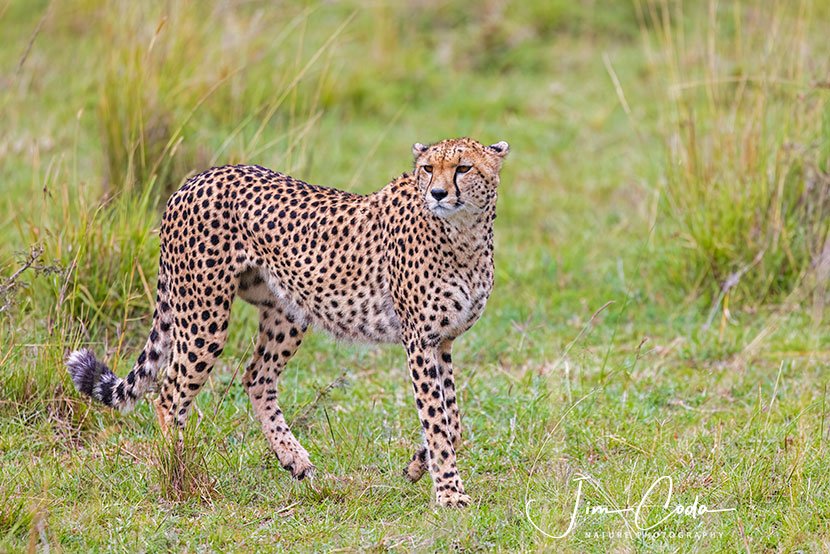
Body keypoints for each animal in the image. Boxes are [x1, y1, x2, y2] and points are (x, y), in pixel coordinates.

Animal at [66, 137, 510, 507]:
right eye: (427, 168)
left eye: (463, 168)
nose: (437, 193)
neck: (465, 235)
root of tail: (195, 178)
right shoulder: (419, 340)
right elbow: (437, 419)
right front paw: (450, 493)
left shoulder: (443, 341)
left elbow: (452, 419)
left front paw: (419, 466)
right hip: (204, 315)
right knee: (170, 394)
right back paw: (178, 470)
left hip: (287, 312)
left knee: (256, 376)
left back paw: (294, 459)